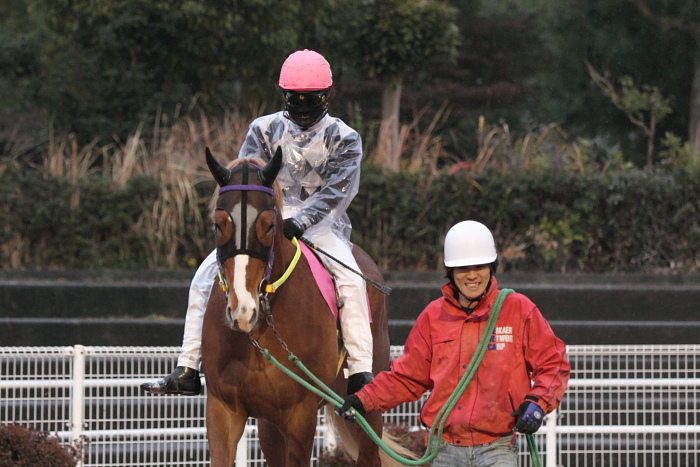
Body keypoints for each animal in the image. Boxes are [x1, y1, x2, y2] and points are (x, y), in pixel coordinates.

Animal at [200, 148, 408, 466]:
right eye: (218, 223)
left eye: (269, 225)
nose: (242, 311)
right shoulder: (224, 409)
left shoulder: (300, 415)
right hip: (269, 423)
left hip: (367, 407)